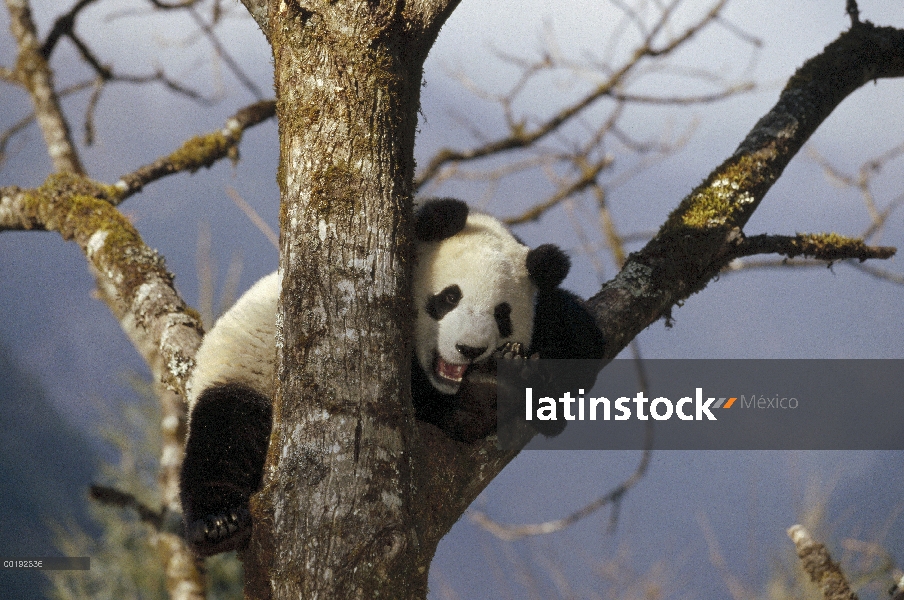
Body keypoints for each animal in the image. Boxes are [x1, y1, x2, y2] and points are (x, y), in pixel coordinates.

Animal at [177, 199, 604, 556]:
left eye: (502, 315)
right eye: (450, 298)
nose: (470, 349)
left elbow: (574, 335)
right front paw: (488, 392)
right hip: (244, 368)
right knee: (224, 432)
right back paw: (220, 524)